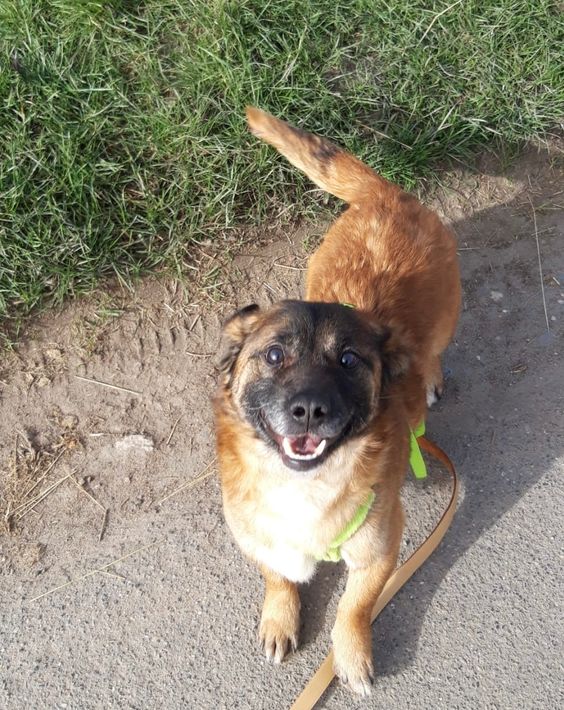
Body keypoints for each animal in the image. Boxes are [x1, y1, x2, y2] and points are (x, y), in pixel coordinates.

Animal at [214, 107, 461, 694]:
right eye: (274, 354)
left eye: (349, 361)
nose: (308, 409)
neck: (305, 486)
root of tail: (387, 196)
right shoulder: (259, 538)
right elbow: (278, 577)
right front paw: (279, 617)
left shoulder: (380, 549)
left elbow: (353, 607)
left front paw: (349, 656)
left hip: (447, 321)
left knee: (435, 353)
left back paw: (431, 380)